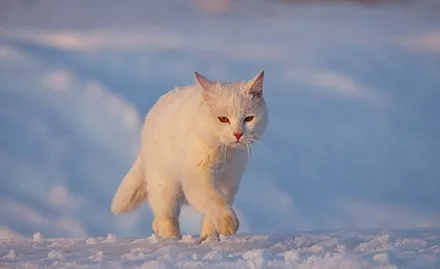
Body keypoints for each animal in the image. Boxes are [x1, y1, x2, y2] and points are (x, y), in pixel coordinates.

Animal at [110, 70, 268, 240]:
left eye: (249, 118)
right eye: (223, 119)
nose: (238, 134)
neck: (224, 153)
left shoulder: (230, 180)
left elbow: (215, 207)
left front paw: (209, 237)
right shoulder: (197, 178)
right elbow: (214, 201)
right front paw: (228, 223)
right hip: (166, 185)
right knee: (166, 216)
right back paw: (172, 238)